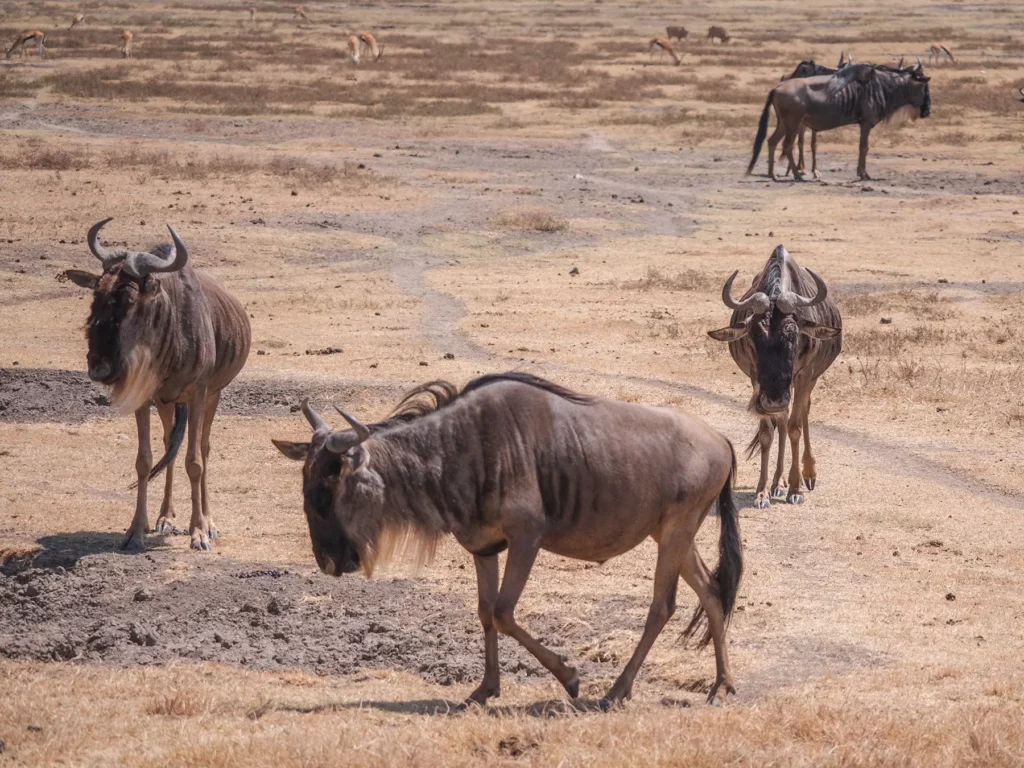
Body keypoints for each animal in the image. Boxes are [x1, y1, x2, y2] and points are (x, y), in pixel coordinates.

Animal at [63, 219, 251, 552]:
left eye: (129, 300)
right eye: (97, 295)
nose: (99, 367)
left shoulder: (200, 393)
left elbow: (195, 461)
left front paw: (199, 532)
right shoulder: (145, 398)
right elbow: (145, 461)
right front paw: (136, 530)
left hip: (212, 396)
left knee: (203, 447)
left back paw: (208, 521)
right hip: (168, 404)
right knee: (168, 446)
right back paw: (165, 518)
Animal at [274, 373, 743, 707]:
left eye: (332, 487)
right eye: (305, 487)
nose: (328, 561)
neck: (459, 448)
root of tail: (721, 440)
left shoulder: (526, 537)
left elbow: (503, 611)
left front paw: (570, 678)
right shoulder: (484, 546)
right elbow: (485, 613)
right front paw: (485, 689)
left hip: (676, 531)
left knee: (662, 606)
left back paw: (616, 691)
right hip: (673, 534)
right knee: (711, 591)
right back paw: (721, 685)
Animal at [708, 246, 841, 509]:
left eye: (794, 335)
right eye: (752, 337)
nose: (774, 400)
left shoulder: (803, 376)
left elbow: (795, 427)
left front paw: (796, 489)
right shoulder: (756, 380)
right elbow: (768, 433)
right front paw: (762, 492)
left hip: (807, 382)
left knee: (802, 412)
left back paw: (808, 474)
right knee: (782, 420)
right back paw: (777, 483)